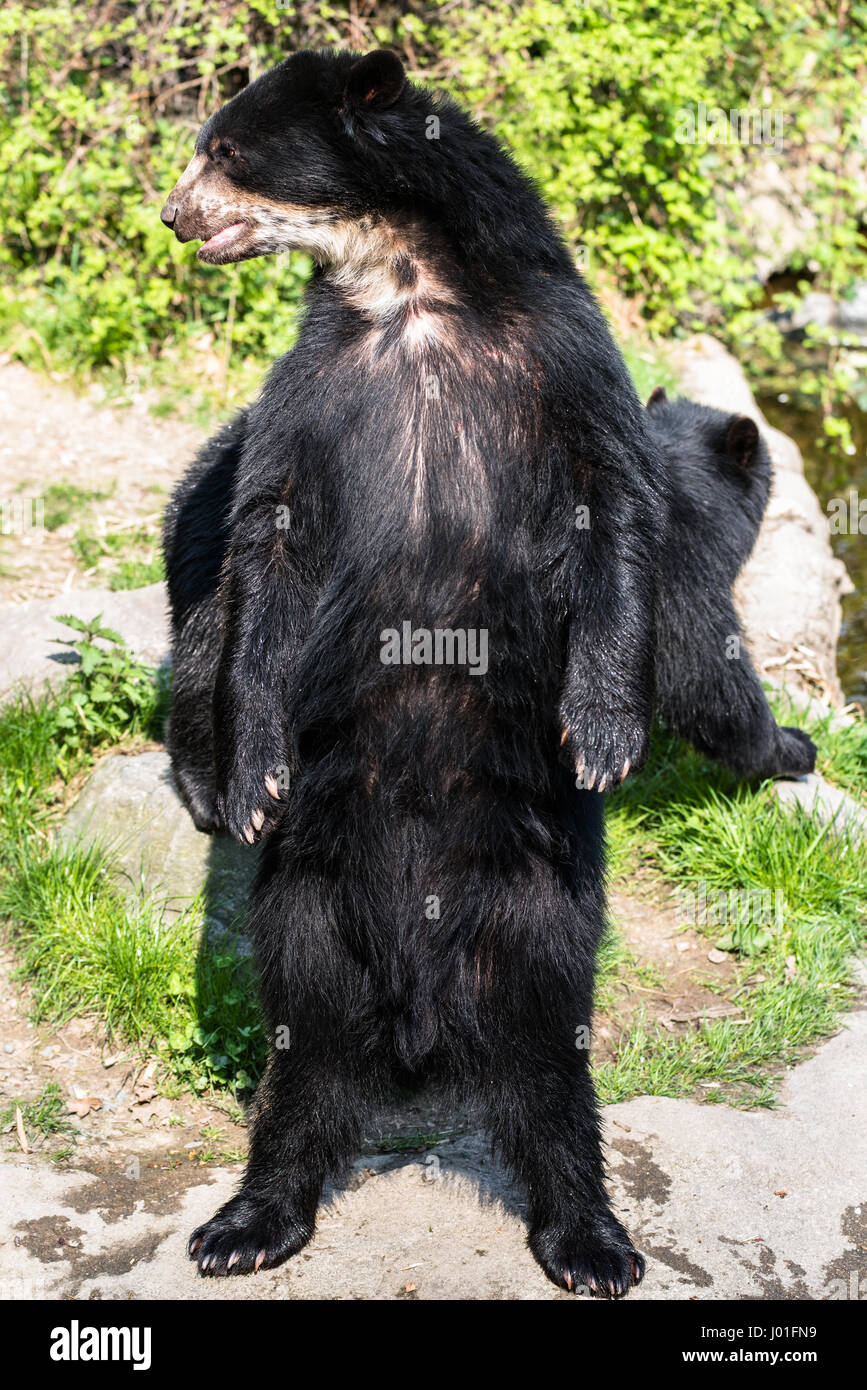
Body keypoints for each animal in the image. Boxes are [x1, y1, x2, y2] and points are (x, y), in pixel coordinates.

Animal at [162, 48, 664, 1295]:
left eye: (225, 150)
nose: (173, 216)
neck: (408, 286)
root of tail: (419, 1015)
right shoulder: (314, 389)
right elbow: (266, 540)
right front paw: (248, 774)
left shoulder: (559, 351)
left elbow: (617, 497)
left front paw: (605, 733)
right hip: (306, 907)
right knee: (298, 1061)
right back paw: (249, 1219)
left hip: (537, 902)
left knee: (554, 1064)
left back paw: (590, 1236)